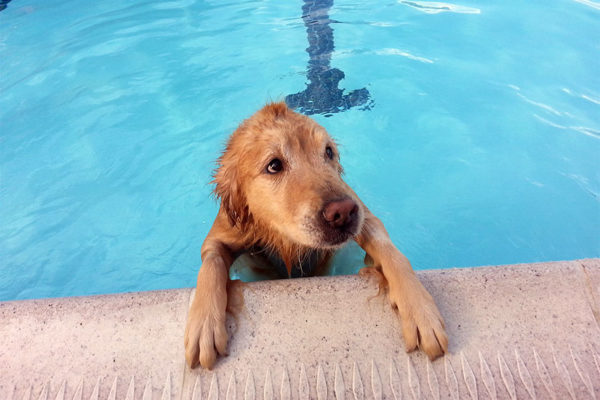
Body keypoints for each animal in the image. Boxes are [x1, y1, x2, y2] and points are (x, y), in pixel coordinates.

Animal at [185, 102, 448, 368]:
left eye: (328, 152)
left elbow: (392, 253)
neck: (285, 242)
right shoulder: (220, 236)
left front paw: (419, 308)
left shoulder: (366, 217)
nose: (343, 212)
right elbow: (211, 264)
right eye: (274, 165)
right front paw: (204, 325)